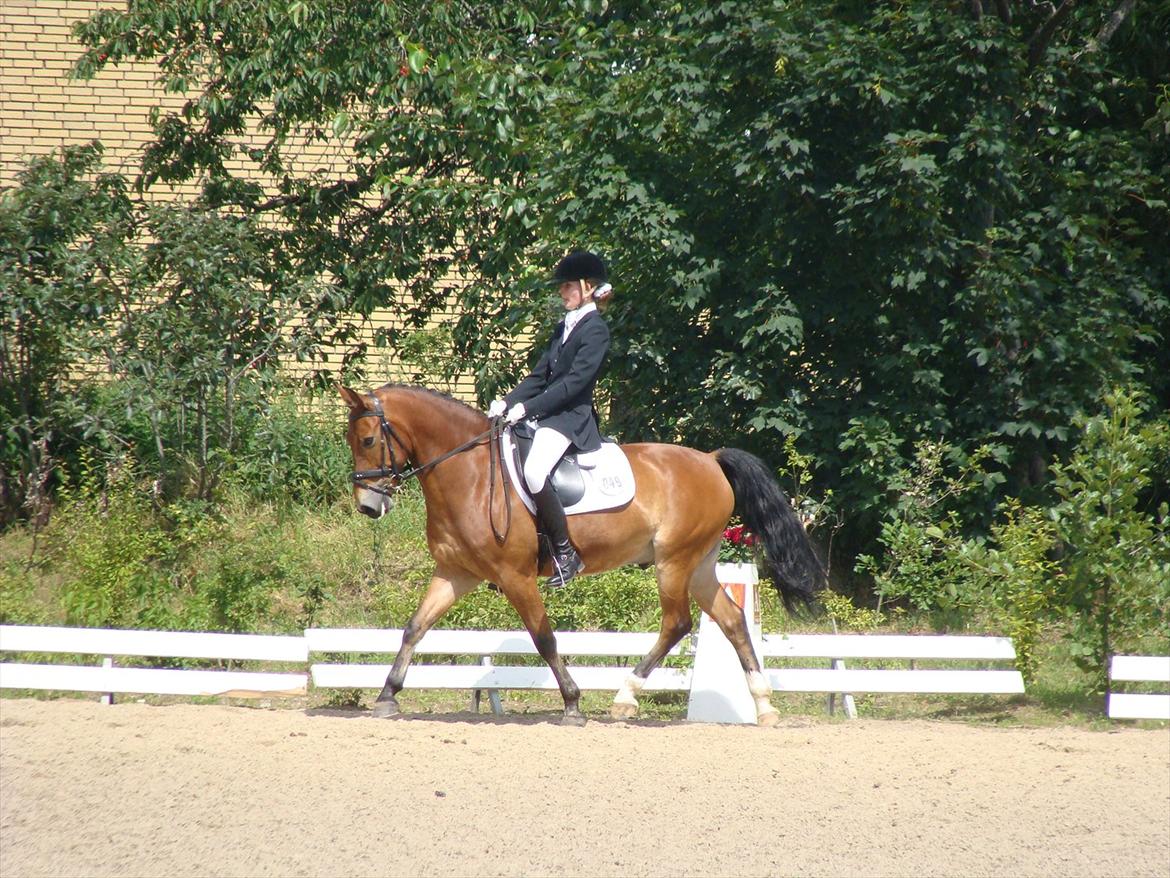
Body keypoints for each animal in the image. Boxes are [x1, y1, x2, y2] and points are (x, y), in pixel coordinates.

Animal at [340, 383, 826, 725]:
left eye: (367, 440)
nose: (368, 506)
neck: (470, 473)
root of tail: (710, 458)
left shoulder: (515, 576)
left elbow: (544, 638)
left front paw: (573, 703)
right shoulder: (455, 573)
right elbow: (414, 628)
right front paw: (387, 696)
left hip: (674, 561)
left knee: (677, 623)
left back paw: (625, 697)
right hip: (700, 564)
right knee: (731, 619)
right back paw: (764, 706)